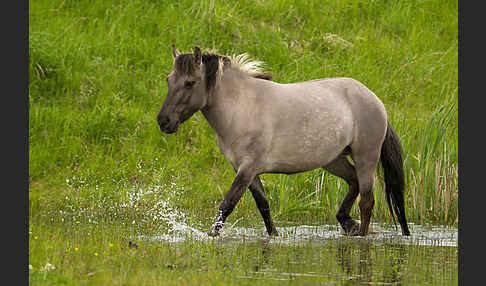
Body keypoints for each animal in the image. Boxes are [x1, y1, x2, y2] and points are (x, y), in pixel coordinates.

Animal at [157, 44, 410, 237]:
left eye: (190, 82)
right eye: (169, 80)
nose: (163, 121)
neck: (242, 106)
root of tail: (374, 100)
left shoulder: (247, 169)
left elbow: (226, 206)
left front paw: (210, 236)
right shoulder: (248, 171)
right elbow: (264, 206)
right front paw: (274, 236)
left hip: (366, 157)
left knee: (367, 202)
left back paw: (361, 235)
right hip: (334, 160)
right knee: (353, 183)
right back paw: (347, 223)